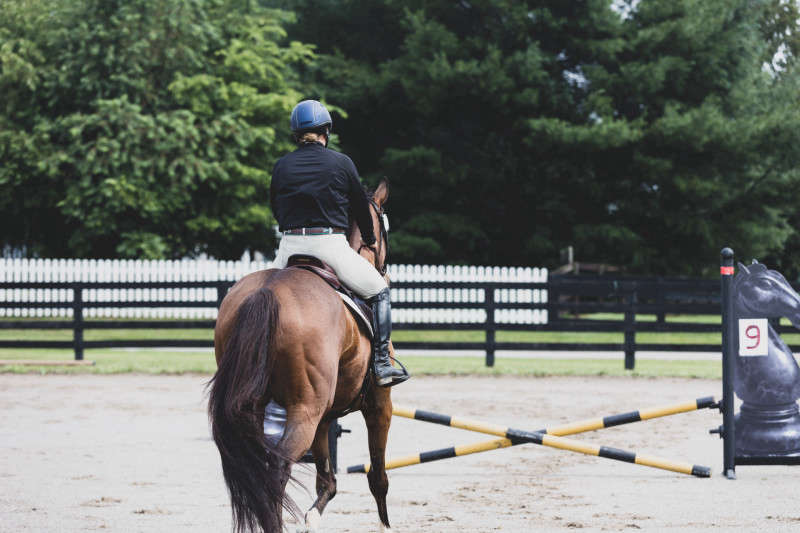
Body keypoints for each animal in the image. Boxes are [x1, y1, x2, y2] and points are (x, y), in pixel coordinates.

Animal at [208, 181, 392, 528]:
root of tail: (268, 291)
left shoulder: (325, 417)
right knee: (277, 470)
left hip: (261, 409)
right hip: (304, 412)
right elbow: (378, 477)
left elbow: (327, 480)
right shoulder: (379, 403)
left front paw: (312, 519)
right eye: (384, 224)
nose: (385, 271)